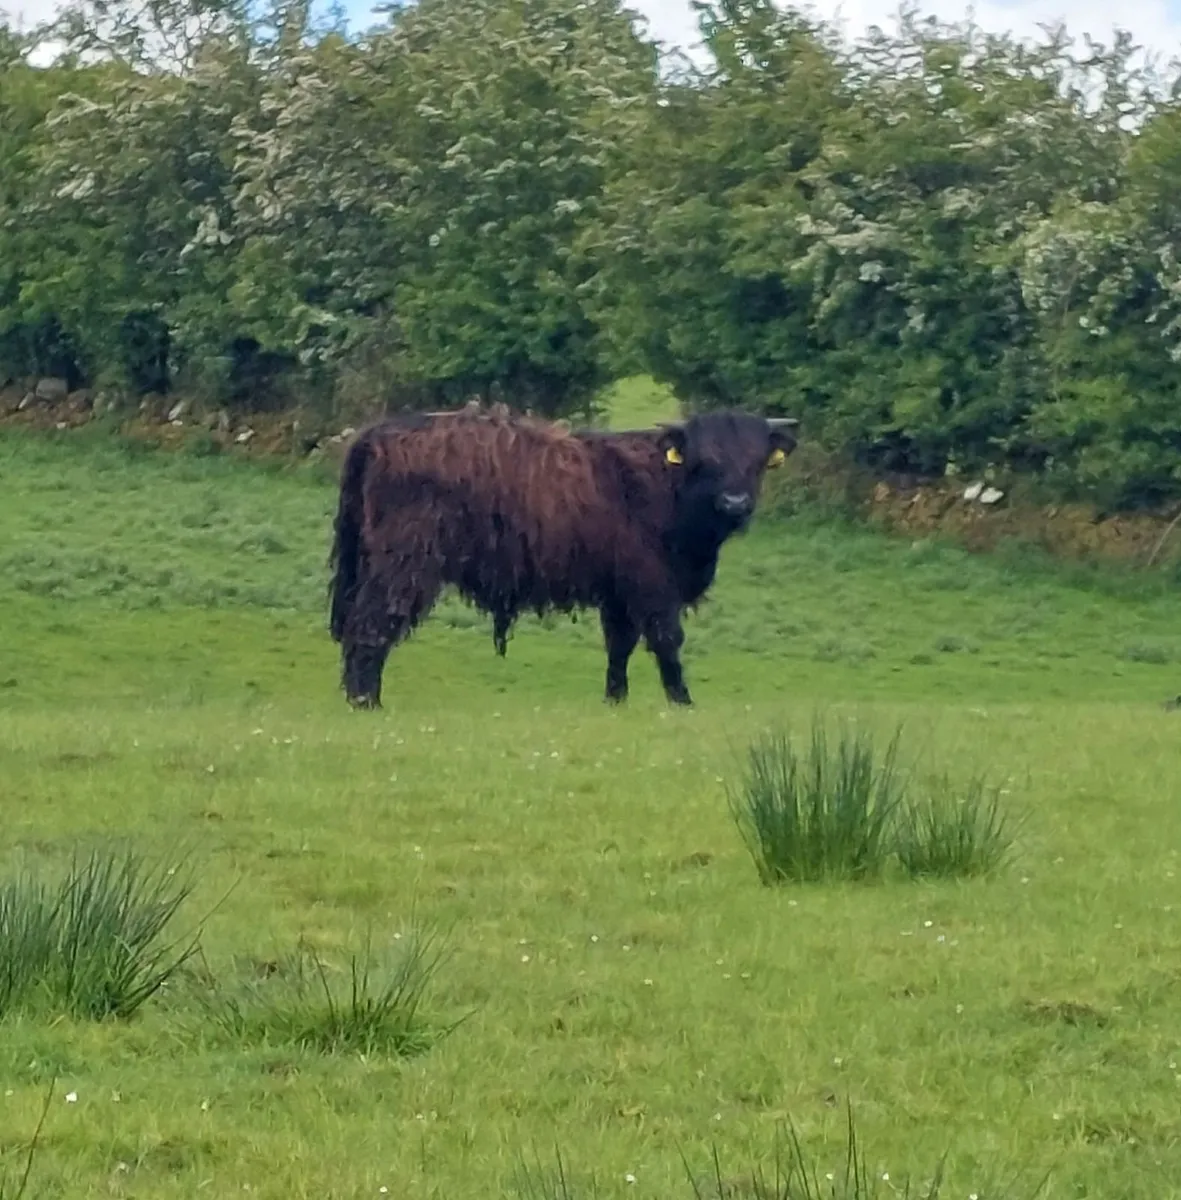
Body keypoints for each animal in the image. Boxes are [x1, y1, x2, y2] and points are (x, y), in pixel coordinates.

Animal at [327, 404, 799, 709]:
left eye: (756, 461)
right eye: (705, 461)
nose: (735, 502)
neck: (669, 488)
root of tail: (379, 433)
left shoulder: (619, 591)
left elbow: (619, 645)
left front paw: (616, 699)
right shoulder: (652, 584)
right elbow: (667, 640)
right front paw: (682, 700)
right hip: (403, 561)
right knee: (372, 622)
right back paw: (366, 701)